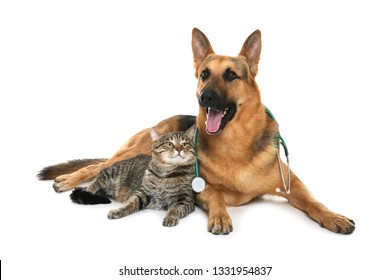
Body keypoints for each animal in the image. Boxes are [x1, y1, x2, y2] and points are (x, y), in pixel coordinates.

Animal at [39, 27, 354, 234]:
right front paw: (220, 217)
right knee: (97, 166)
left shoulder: (292, 183)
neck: (235, 144)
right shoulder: (198, 188)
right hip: (134, 151)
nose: (205, 98)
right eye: (204, 74)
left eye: (231, 75)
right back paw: (67, 179)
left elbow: (313, 201)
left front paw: (333, 216)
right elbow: (215, 195)